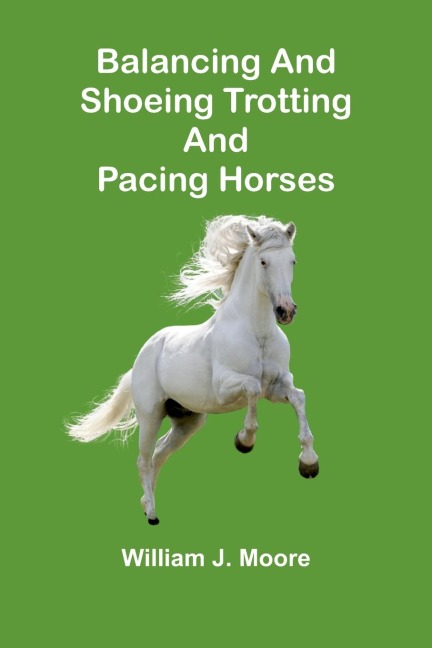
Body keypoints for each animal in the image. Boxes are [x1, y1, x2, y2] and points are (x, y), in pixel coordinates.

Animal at [67, 215, 319, 525]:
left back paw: (146, 502)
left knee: (158, 455)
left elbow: (298, 397)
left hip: (188, 420)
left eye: (292, 260)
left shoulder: (277, 385)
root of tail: (141, 356)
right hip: (151, 414)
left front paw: (309, 464)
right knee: (143, 460)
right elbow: (251, 388)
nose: (286, 311)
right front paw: (244, 441)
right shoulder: (226, 387)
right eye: (263, 262)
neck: (256, 331)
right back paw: (152, 514)